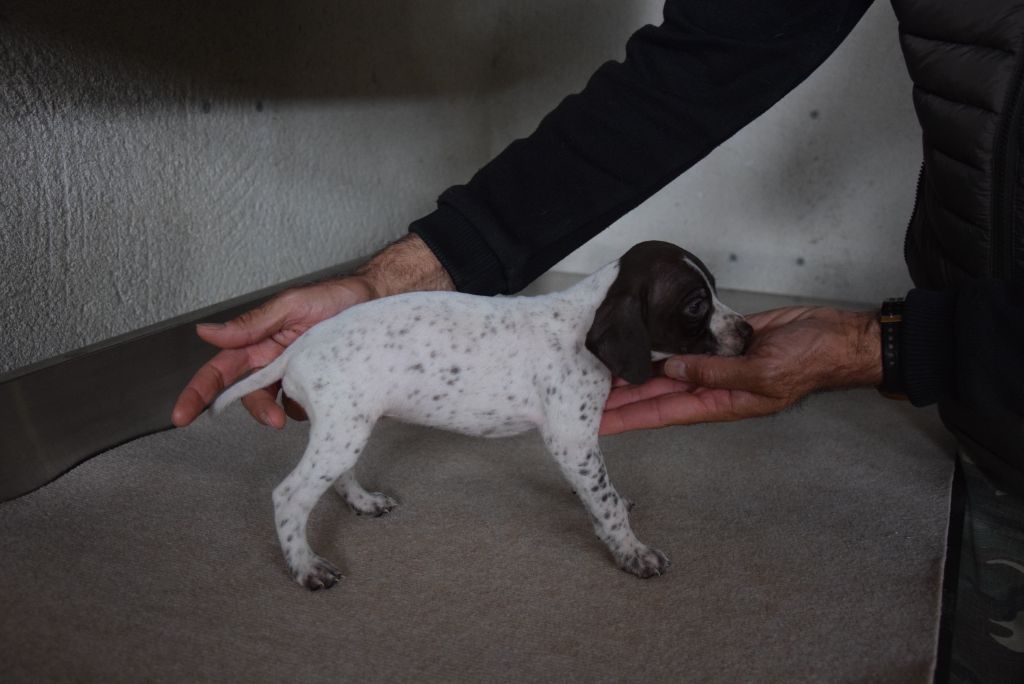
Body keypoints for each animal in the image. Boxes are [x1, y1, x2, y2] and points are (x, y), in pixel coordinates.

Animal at [213, 241, 752, 590]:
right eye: (696, 304)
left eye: (716, 288)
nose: (749, 333)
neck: (583, 318)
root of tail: (300, 344)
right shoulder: (572, 441)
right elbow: (606, 505)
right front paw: (632, 552)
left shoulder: (577, 445)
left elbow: (601, 495)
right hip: (342, 431)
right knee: (289, 496)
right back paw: (304, 565)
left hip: (348, 429)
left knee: (337, 475)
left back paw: (362, 501)